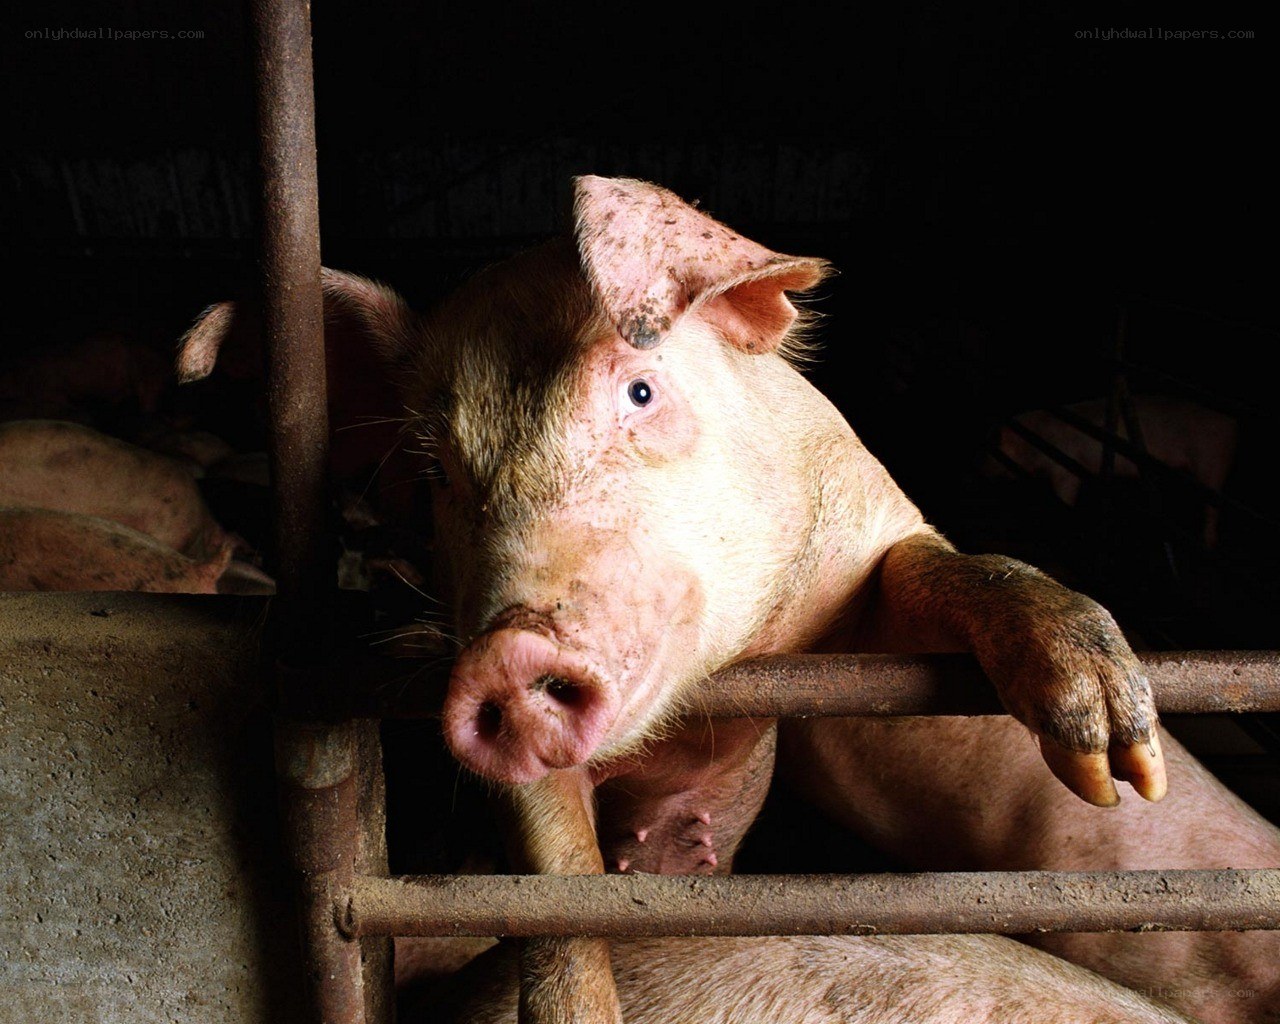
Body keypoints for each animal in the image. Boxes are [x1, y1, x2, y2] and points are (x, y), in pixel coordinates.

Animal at [179, 176, 1278, 1022]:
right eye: (434, 470)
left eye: (639, 391)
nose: (509, 650)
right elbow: (553, 884)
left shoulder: (864, 572)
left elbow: (949, 571)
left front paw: (1114, 761)